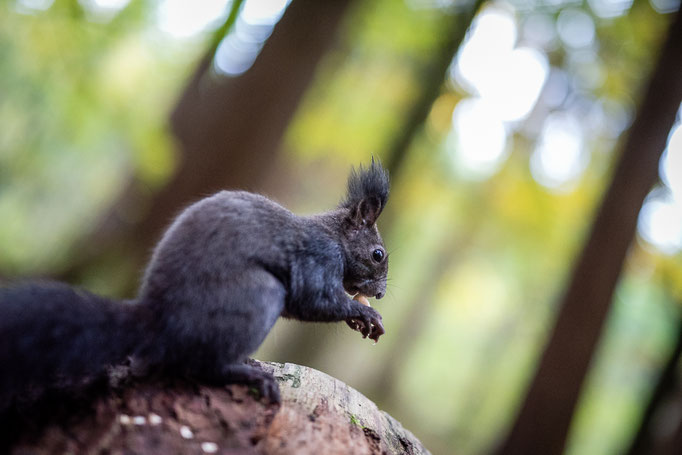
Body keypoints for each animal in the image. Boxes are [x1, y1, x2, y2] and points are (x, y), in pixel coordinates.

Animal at [0, 160, 389, 410]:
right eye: (378, 254)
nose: (382, 293)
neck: (335, 238)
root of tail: (160, 321)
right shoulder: (317, 258)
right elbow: (315, 300)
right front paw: (364, 315)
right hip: (258, 296)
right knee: (204, 366)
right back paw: (247, 374)